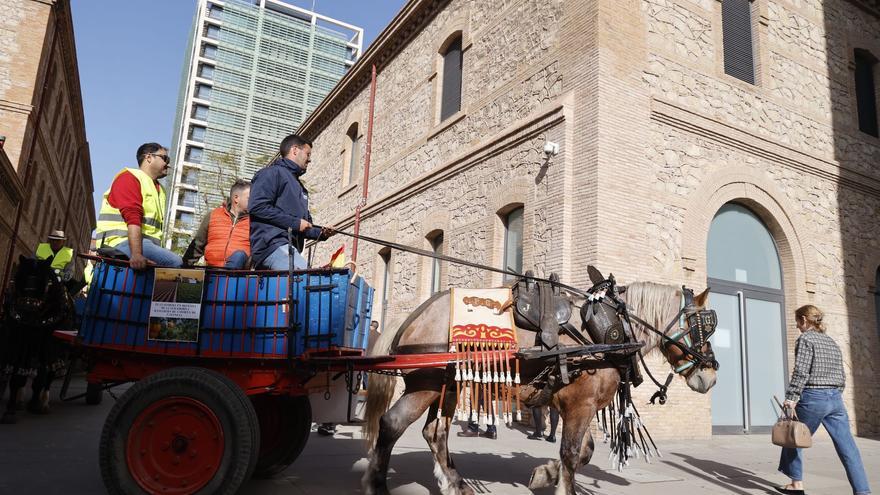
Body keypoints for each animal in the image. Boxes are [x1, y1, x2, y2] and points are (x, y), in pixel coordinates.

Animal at [0, 256, 73, 422]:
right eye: (21, 276)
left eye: (45, 282)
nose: (27, 309)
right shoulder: (19, 338)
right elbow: (16, 373)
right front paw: (10, 410)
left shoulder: (49, 344)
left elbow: (42, 375)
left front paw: (35, 405)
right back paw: (20, 400)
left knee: (51, 373)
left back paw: (43, 401)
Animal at [360, 280, 720, 495]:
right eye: (703, 327)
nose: (711, 374)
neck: (612, 331)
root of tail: (413, 316)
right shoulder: (581, 405)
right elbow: (572, 454)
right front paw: (561, 483)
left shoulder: (575, 405)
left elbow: (584, 451)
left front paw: (546, 474)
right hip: (426, 385)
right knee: (392, 425)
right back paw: (378, 485)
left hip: (446, 386)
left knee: (435, 432)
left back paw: (455, 482)